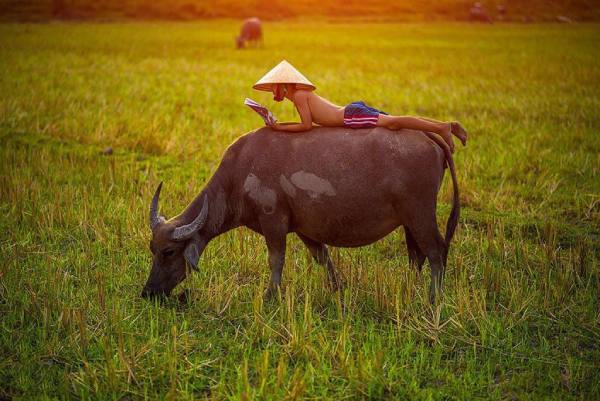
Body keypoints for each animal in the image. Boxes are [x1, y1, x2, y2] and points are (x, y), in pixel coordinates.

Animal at [144, 127, 460, 304]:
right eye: (152, 249)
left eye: (169, 251)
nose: (148, 293)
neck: (240, 172)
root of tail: (430, 138)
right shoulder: (305, 230)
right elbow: (323, 257)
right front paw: (337, 289)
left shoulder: (274, 223)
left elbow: (276, 260)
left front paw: (270, 296)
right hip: (409, 221)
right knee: (417, 255)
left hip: (420, 215)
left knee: (436, 251)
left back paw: (434, 298)